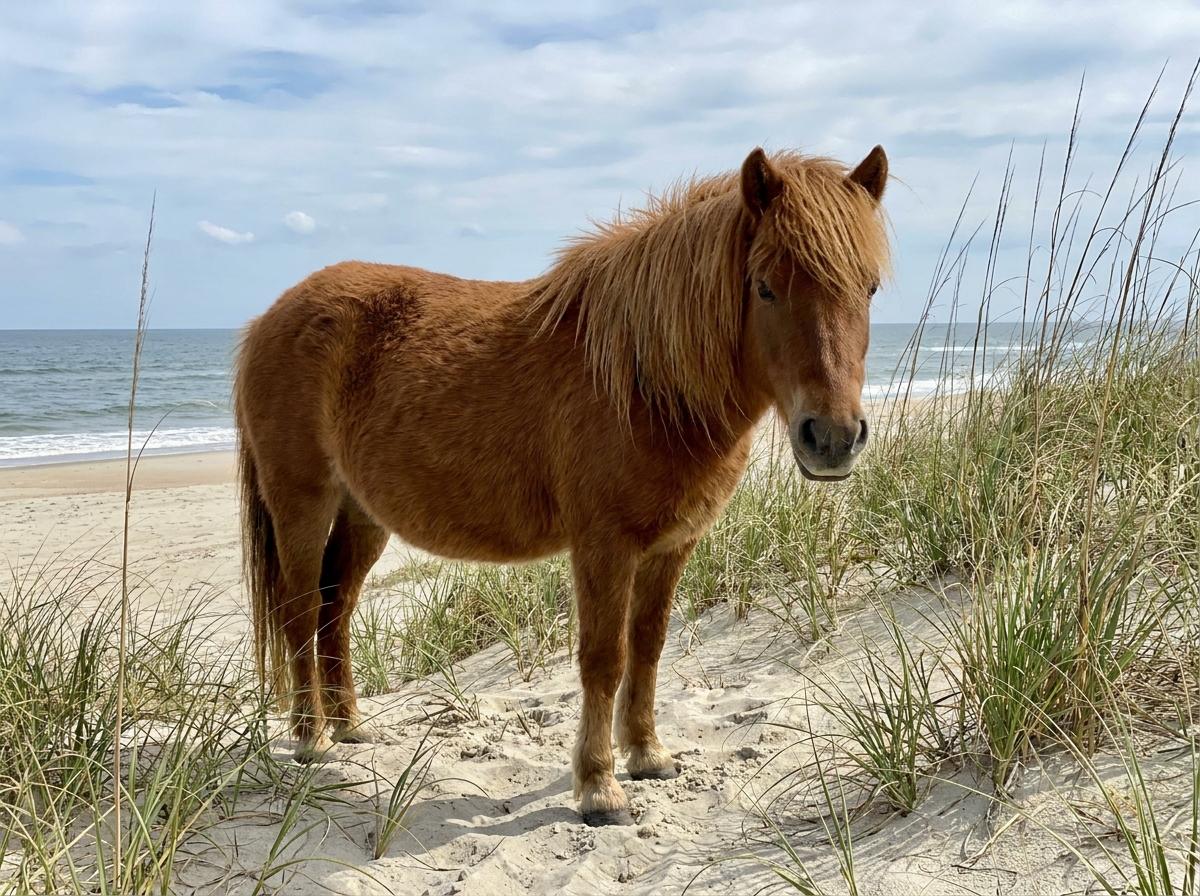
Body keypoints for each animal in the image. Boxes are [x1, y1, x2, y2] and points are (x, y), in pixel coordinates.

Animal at [234, 145, 890, 826]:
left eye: (868, 288)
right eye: (764, 286)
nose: (833, 438)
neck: (642, 379)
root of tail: (267, 319)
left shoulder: (669, 548)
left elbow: (648, 646)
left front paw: (648, 755)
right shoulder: (604, 546)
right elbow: (604, 659)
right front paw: (600, 786)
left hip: (364, 516)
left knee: (335, 607)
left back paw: (349, 726)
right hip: (302, 503)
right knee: (300, 610)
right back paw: (310, 738)